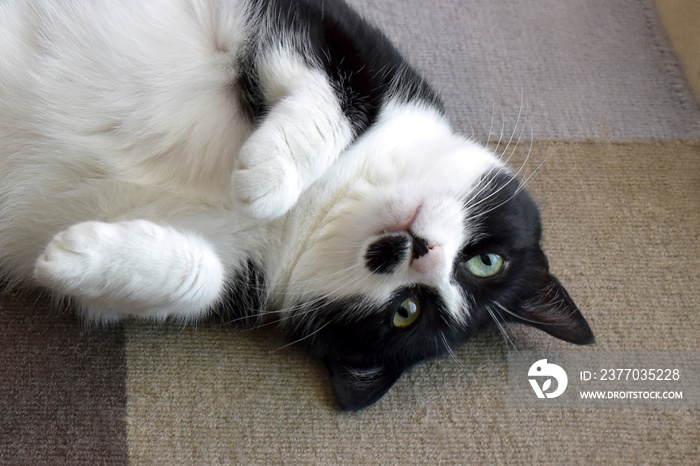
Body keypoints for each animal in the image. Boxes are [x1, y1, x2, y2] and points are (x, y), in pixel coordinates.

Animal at [0, 0, 596, 408]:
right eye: (487, 260)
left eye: (405, 312)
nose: (415, 249)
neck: (326, 201)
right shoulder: (338, 35)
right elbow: (340, 97)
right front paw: (268, 175)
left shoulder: (241, 277)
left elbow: (200, 281)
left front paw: (74, 258)